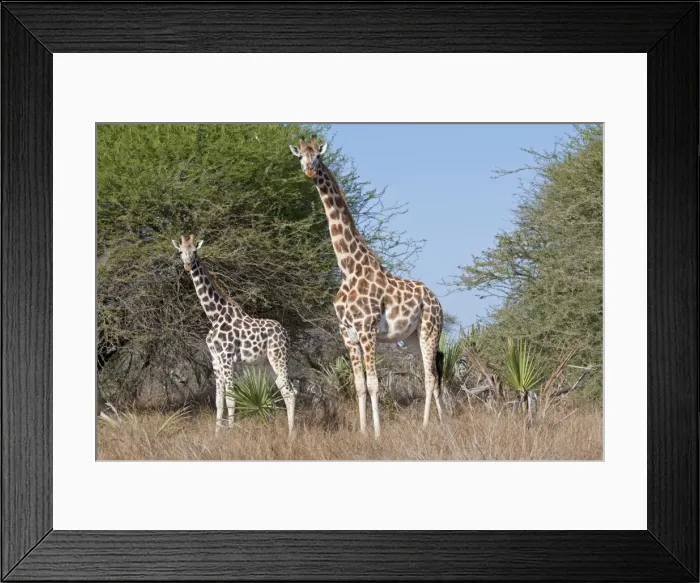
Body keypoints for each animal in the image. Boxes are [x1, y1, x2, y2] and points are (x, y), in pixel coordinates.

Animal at [172, 234, 296, 436]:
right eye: (180, 252)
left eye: (195, 251)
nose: (188, 265)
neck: (214, 316)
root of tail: (286, 334)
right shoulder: (215, 358)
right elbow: (219, 401)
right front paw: (217, 435)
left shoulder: (227, 357)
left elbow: (231, 398)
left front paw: (231, 432)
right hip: (267, 363)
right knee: (285, 388)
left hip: (279, 357)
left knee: (290, 391)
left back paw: (292, 435)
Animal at [289, 136, 445, 439]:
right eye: (300, 156)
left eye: (317, 156)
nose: (310, 170)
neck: (349, 268)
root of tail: (438, 302)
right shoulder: (347, 333)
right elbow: (359, 384)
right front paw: (362, 431)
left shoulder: (367, 329)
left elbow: (374, 383)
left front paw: (377, 433)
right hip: (411, 337)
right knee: (430, 373)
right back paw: (444, 421)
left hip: (430, 330)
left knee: (431, 376)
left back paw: (426, 425)